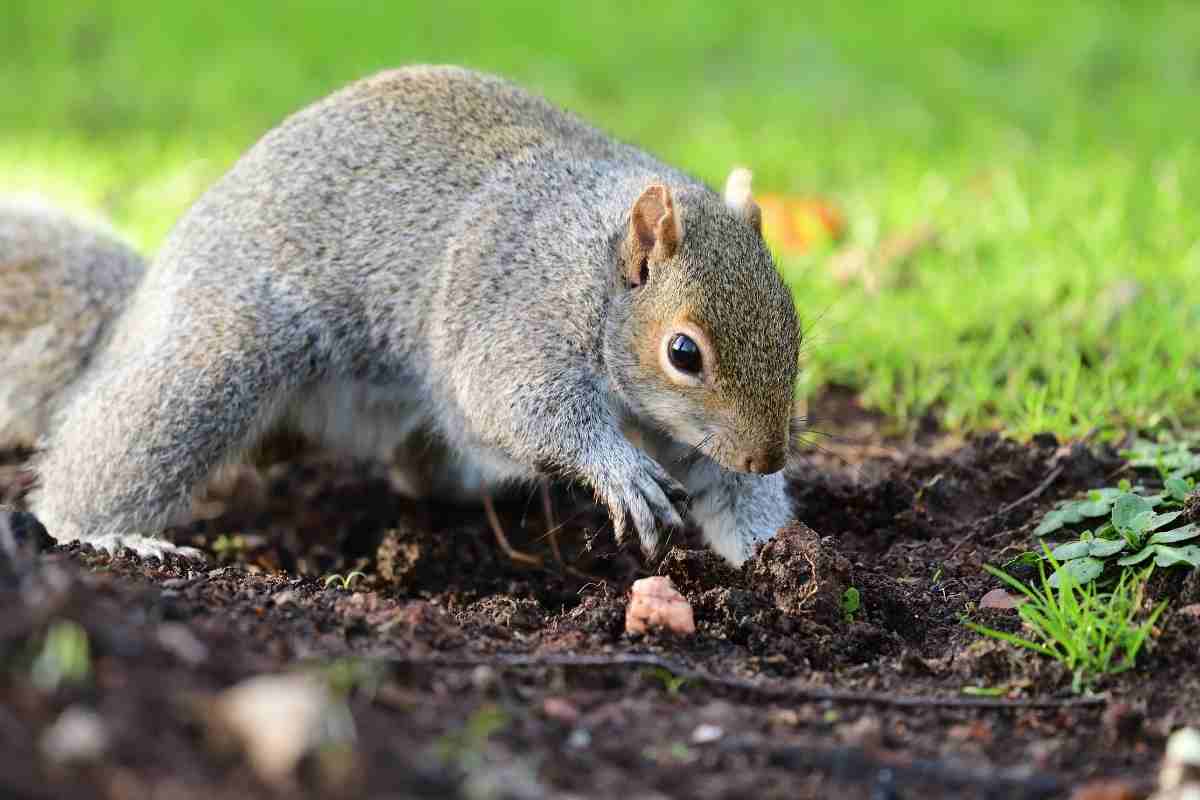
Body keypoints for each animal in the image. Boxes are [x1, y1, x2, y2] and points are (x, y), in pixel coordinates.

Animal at [29, 65, 802, 566]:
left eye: (794, 325)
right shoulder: (520, 311)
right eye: (683, 353)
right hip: (223, 350)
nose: (768, 455)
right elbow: (516, 400)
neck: (595, 264)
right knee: (124, 440)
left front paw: (773, 553)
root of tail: (142, 304)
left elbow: (724, 486)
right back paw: (103, 533)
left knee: (419, 466)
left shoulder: (687, 433)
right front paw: (616, 471)